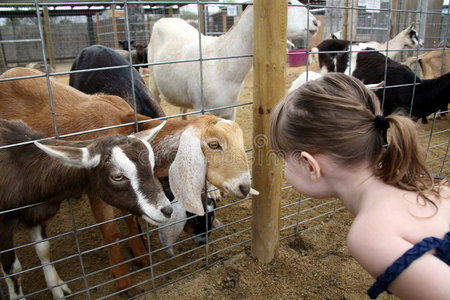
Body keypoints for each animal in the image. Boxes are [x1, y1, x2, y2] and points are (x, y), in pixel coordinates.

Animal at [149, 1, 320, 120]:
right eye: (289, 3)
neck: (222, 62)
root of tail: (164, 19)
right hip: (153, 82)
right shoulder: (200, 108)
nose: (316, 23)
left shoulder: (230, 110)